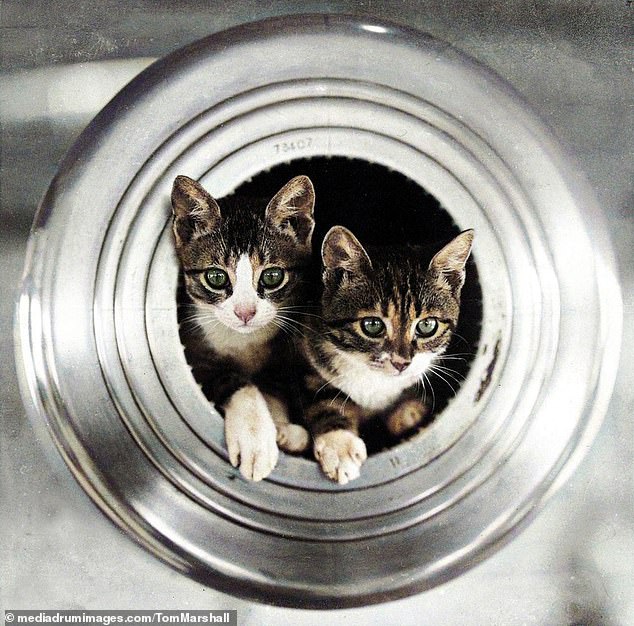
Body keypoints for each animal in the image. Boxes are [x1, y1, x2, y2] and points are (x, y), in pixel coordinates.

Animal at [170, 173, 314, 480]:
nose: (245, 312)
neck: (244, 341)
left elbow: (273, 386)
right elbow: (236, 382)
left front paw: (282, 429)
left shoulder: (280, 355)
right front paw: (256, 440)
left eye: (272, 276)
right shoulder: (196, 356)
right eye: (215, 277)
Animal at [302, 224, 474, 482]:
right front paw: (339, 446)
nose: (402, 362)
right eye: (372, 325)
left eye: (427, 325)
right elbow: (324, 400)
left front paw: (409, 413)